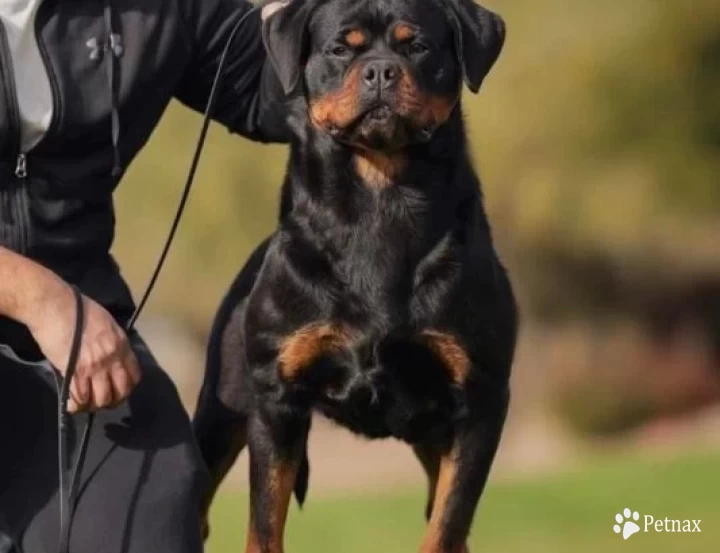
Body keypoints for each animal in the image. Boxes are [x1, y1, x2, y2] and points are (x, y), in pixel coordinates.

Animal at [193, 0, 516, 548]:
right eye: (341, 48)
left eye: (417, 46)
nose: (380, 71)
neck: (379, 199)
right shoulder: (276, 401)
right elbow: (264, 524)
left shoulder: (479, 399)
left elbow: (447, 525)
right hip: (225, 407)